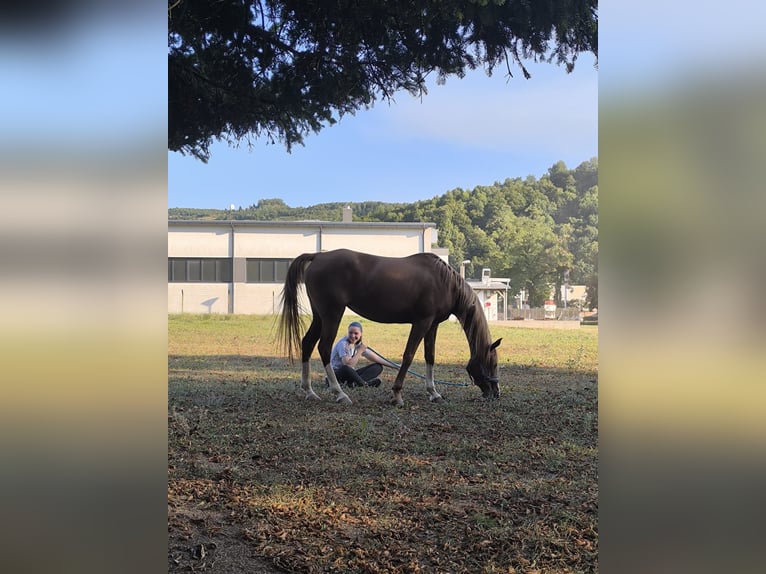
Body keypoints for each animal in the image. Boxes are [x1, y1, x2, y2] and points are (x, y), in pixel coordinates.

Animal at [277, 249, 501, 406]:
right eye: (493, 363)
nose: (496, 393)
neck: (445, 283)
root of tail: (318, 257)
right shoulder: (421, 322)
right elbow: (409, 355)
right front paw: (397, 395)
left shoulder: (432, 325)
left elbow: (430, 357)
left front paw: (434, 393)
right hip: (332, 314)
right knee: (323, 347)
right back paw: (340, 394)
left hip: (320, 316)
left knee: (307, 344)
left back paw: (310, 392)